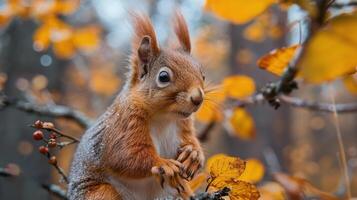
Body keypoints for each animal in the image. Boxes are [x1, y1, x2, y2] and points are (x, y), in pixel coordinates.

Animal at [68, 11, 204, 199]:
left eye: (203, 74)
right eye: (163, 77)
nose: (198, 98)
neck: (164, 117)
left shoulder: (183, 124)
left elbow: (190, 140)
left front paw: (194, 154)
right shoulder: (124, 124)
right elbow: (125, 155)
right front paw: (163, 163)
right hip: (101, 193)